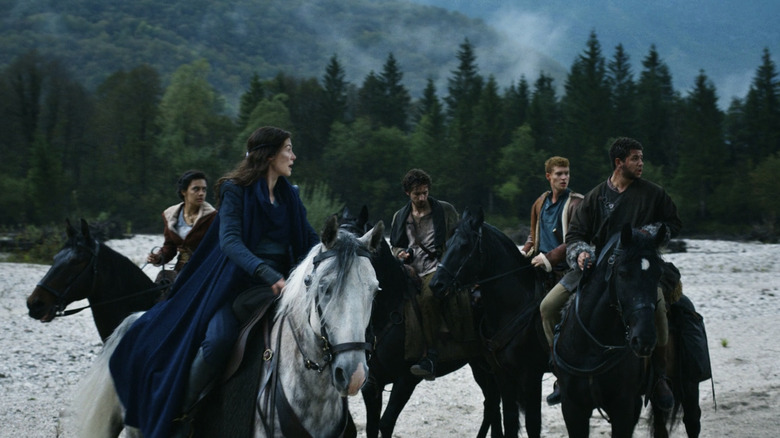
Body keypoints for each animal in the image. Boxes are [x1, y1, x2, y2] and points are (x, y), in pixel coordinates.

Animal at [338, 208, 502, 438]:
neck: (389, 308)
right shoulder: (372, 384)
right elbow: (372, 427)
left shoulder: (406, 380)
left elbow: (386, 423)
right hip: (479, 364)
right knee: (492, 403)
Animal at [430, 206, 552, 438]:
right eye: (447, 244)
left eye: (465, 245)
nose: (436, 285)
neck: (514, 306)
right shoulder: (501, 374)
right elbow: (510, 420)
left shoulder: (531, 375)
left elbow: (533, 423)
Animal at [556, 224, 664, 436]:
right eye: (622, 273)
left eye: (658, 274)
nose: (644, 339)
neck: (592, 347)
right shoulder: (572, 408)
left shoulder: (624, 407)